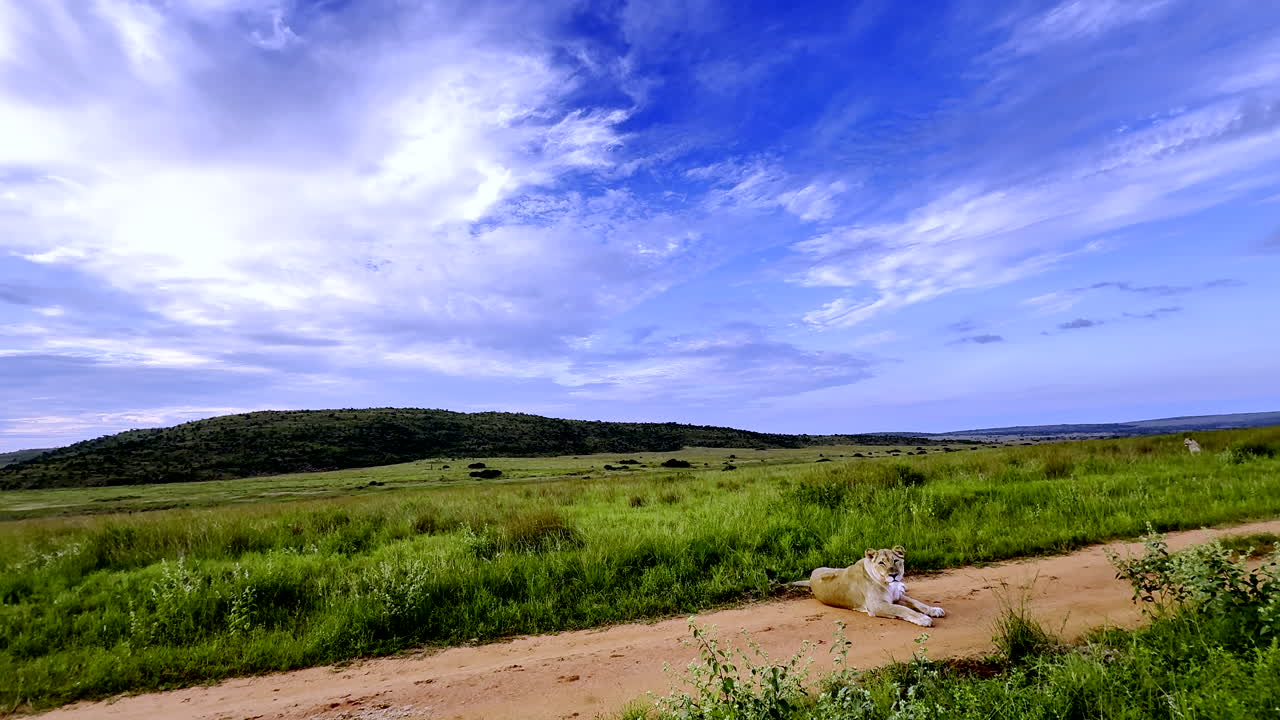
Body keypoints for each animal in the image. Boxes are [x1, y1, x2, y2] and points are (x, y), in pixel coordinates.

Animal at [791, 546, 945, 627]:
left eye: (895, 560)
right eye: (882, 563)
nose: (894, 575)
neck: (888, 584)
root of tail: (811, 578)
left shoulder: (896, 597)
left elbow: (917, 603)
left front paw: (934, 610)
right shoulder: (877, 606)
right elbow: (902, 609)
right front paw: (923, 619)